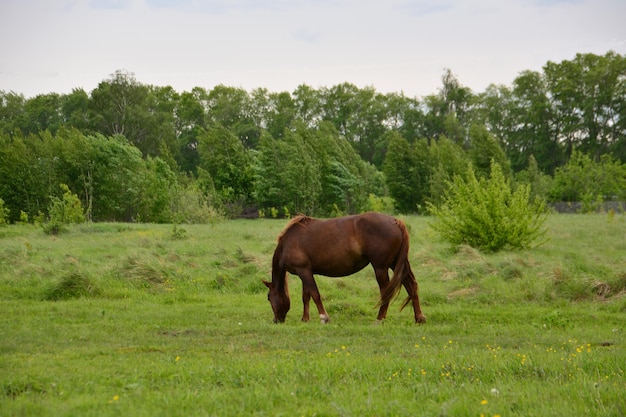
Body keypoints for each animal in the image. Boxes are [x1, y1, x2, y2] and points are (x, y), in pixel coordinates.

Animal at [260, 213, 426, 324]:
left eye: (269, 297)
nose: (276, 320)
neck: (289, 242)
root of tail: (396, 221)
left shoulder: (304, 271)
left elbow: (315, 294)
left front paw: (324, 317)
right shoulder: (304, 272)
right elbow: (306, 296)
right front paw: (305, 319)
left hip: (381, 268)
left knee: (386, 291)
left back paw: (379, 319)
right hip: (397, 264)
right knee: (411, 286)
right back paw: (419, 318)